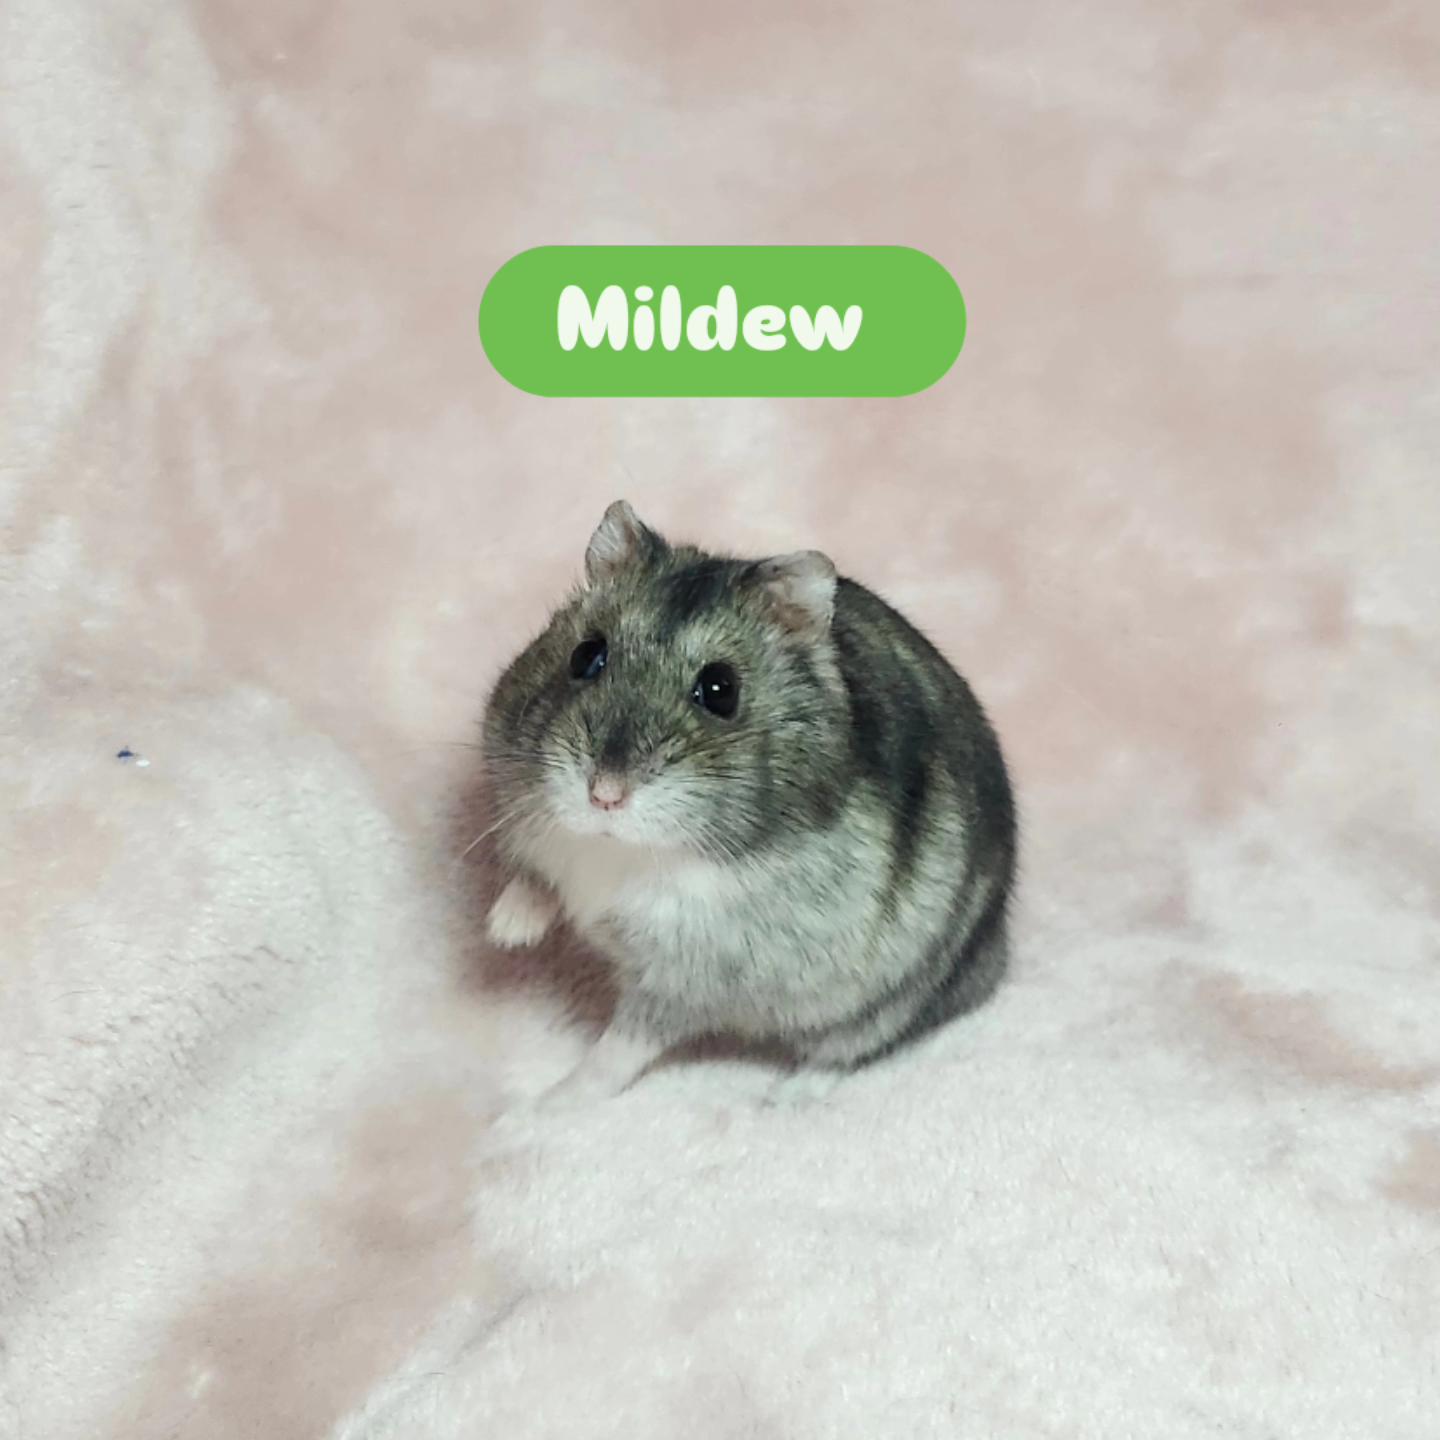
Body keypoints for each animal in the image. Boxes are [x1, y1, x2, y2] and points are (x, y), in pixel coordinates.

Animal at [481, 500, 1016, 1098]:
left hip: (890, 1004)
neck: (623, 848)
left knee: (842, 1054)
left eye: (721, 690)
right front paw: (505, 934)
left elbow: (619, 1051)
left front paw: (548, 1103)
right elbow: (534, 879)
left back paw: (780, 1101)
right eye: (585, 655)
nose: (604, 795)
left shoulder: (683, 981)